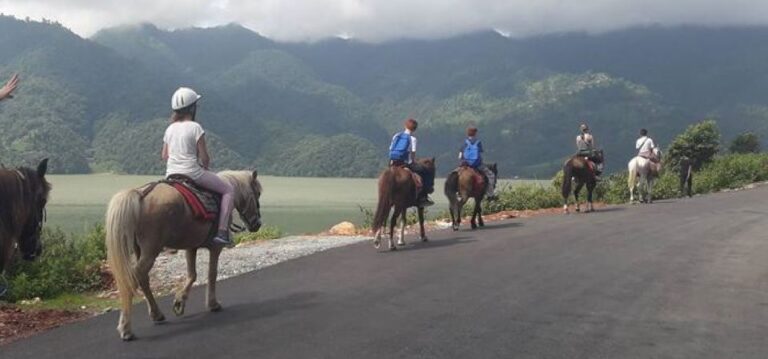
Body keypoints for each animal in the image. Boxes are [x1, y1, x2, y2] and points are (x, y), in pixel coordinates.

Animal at [105, 170, 262, 342]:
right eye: (258, 193)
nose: (257, 224)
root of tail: (141, 194)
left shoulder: (190, 246)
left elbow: (192, 275)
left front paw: (180, 301)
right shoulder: (215, 247)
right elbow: (212, 274)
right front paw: (213, 304)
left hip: (139, 250)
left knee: (143, 278)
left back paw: (156, 314)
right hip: (151, 250)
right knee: (134, 277)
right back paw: (126, 328)